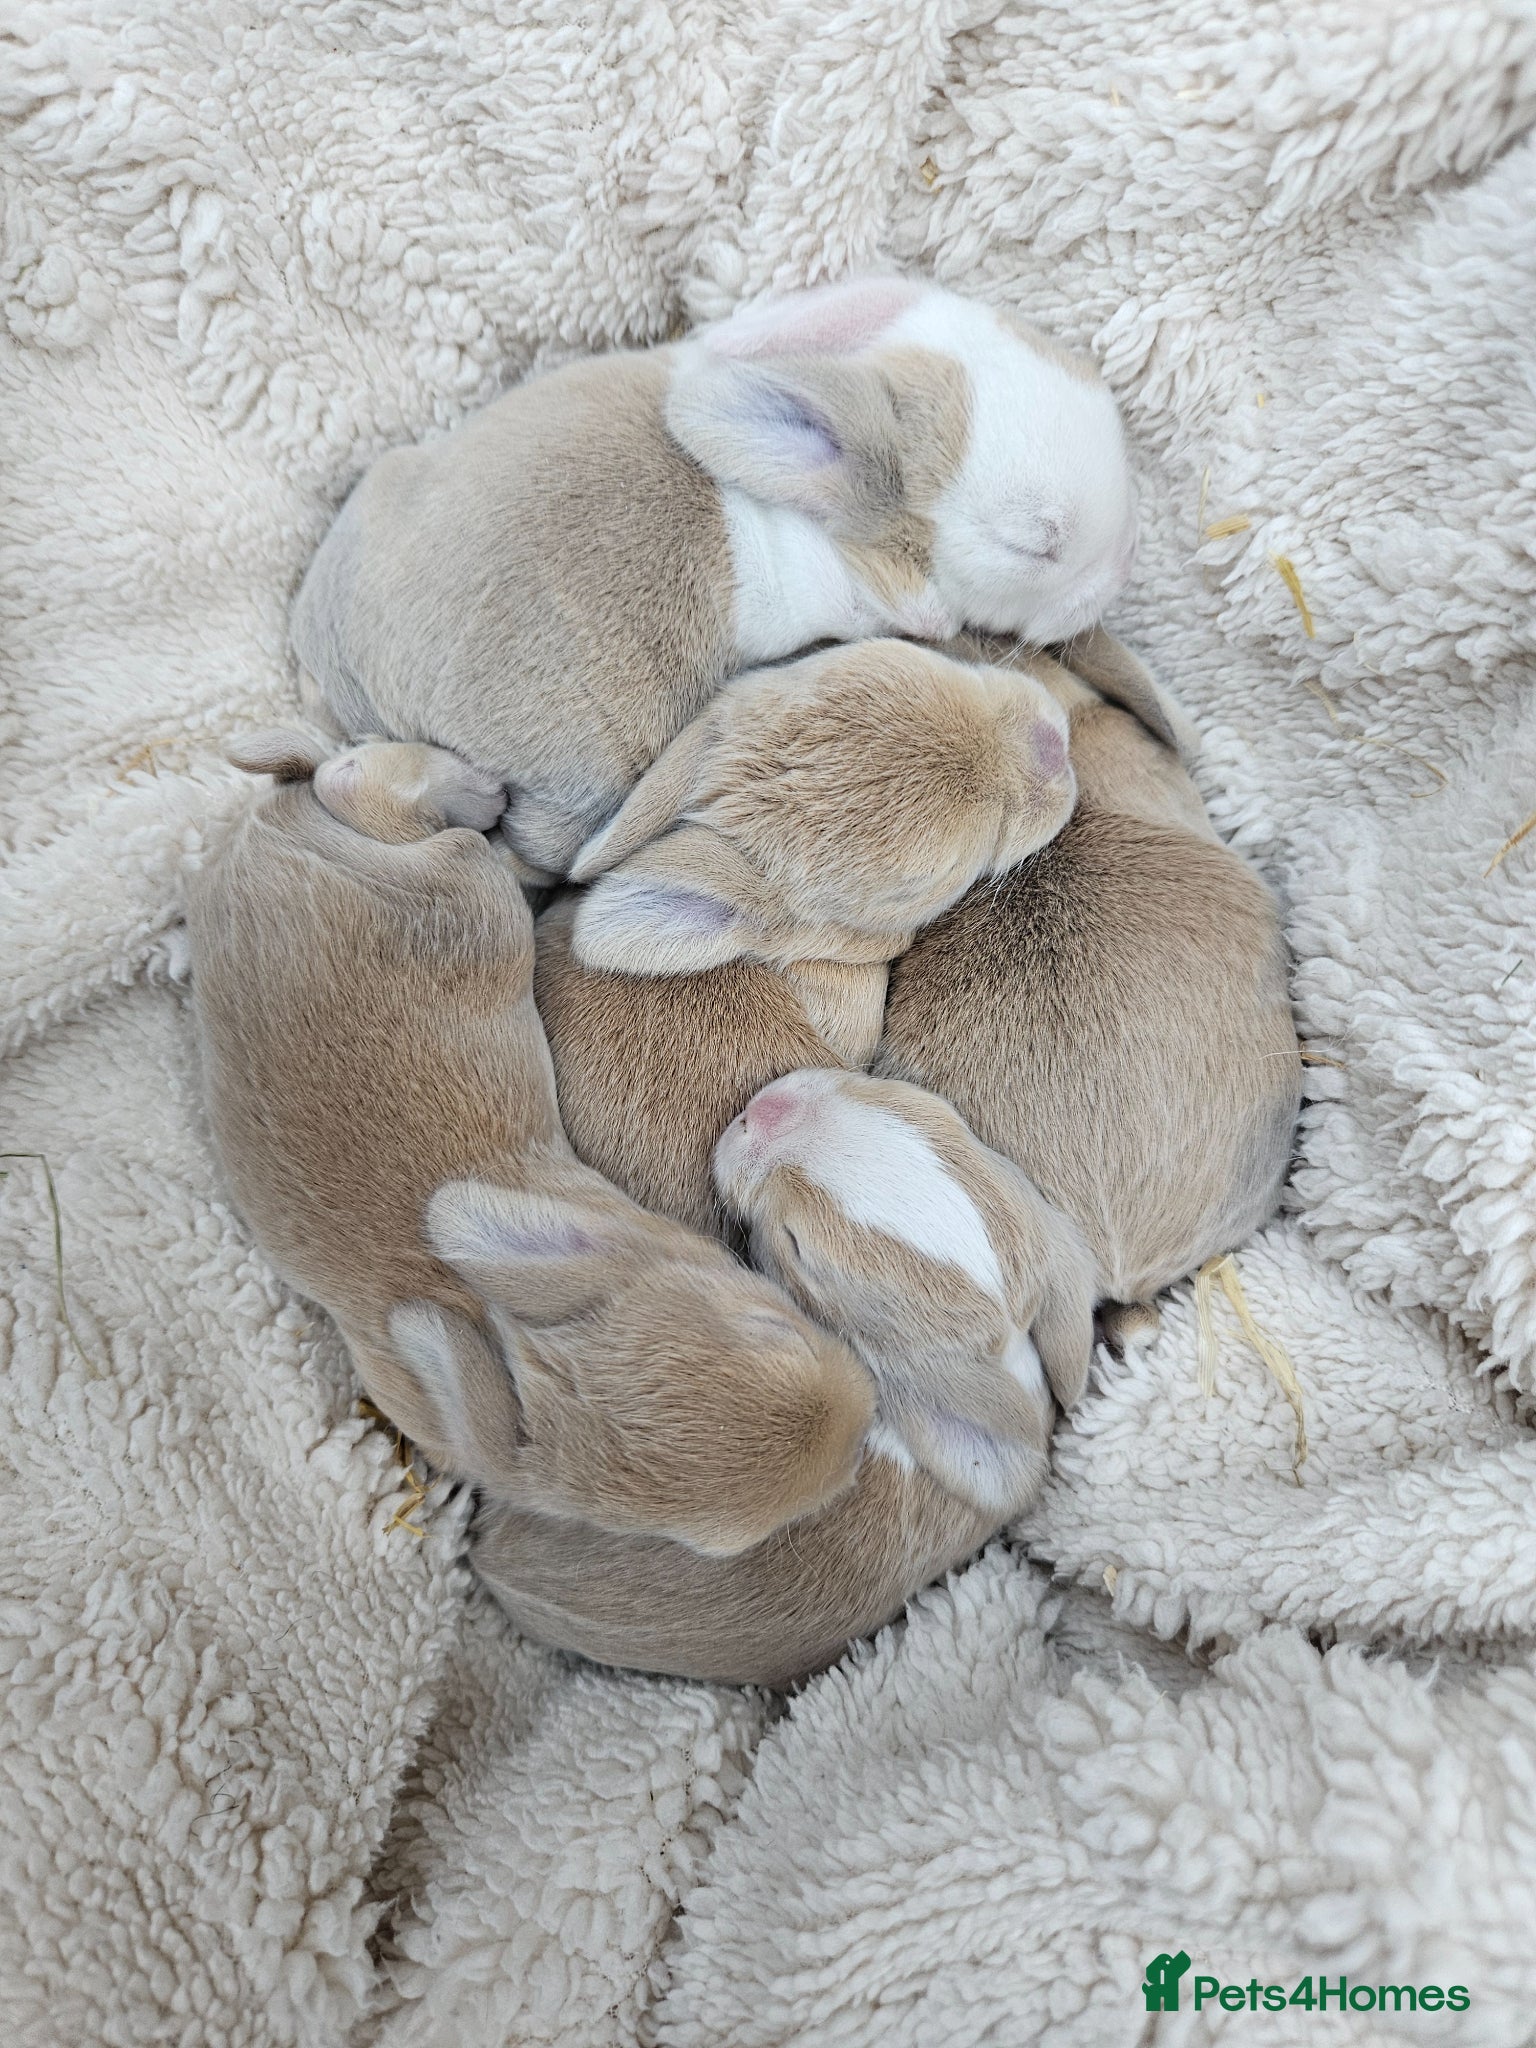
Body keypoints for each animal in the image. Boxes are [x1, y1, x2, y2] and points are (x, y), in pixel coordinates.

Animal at [185, 731, 875, 1558]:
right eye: (771, 1322)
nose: (864, 1426)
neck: (513, 1336)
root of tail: (269, 837)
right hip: (467, 901)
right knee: (359, 790)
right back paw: (477, 794)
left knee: (336, 777)